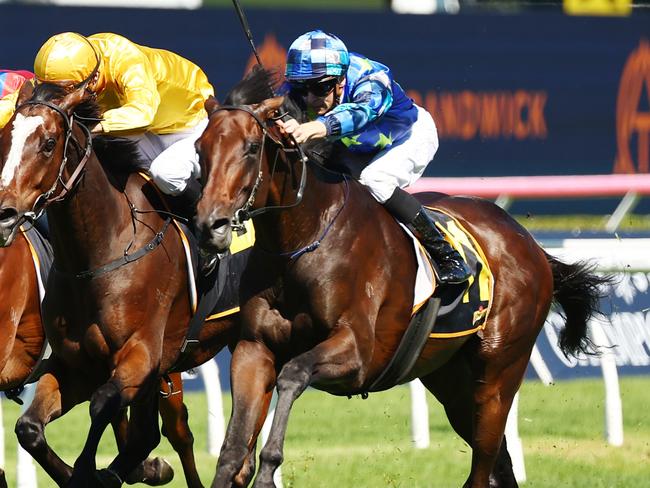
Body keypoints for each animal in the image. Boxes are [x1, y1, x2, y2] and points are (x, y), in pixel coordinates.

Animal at [0, 82, 239, 486]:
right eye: (5, 139)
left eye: (49, 142)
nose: (4, 214)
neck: (101, 252)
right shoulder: (75, 365)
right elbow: (29, 428)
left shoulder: (140, 353)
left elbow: (105, 406)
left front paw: (92, 471)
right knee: (163, 431)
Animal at [192, 68, 608, 488]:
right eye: (199, 148)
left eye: (250, 147)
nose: (210, 225)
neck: (303, 238)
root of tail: (531, 245)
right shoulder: (254, 348)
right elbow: (233, 446)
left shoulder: (357, 351)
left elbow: (293, 374)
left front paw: (268, 469)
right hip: (450, 378)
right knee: (499, 464)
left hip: (498, 375)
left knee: (484, 461)